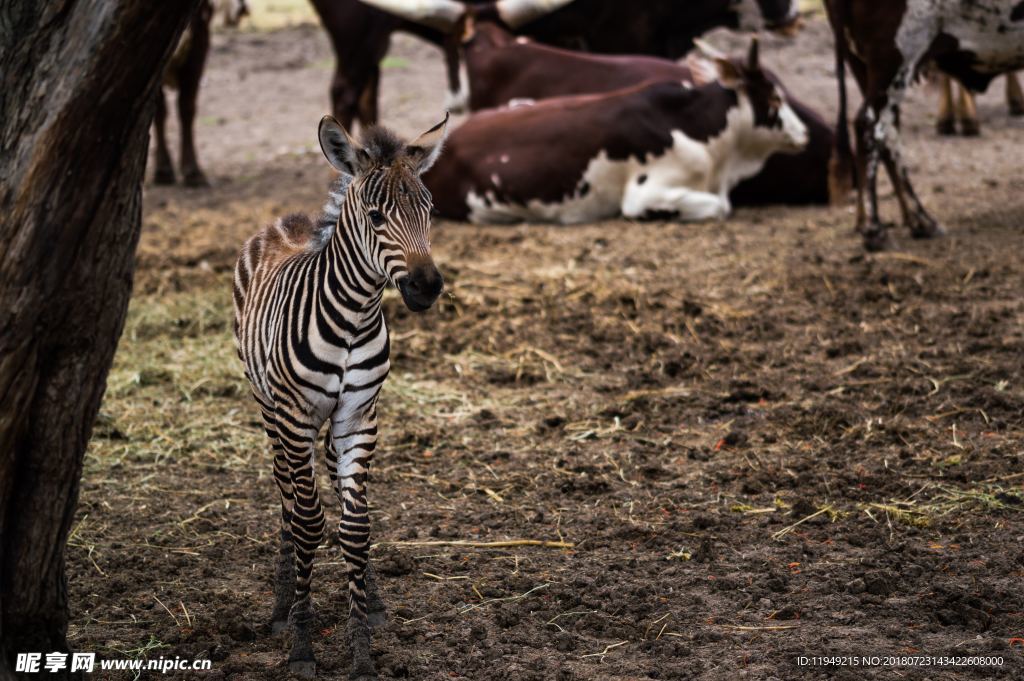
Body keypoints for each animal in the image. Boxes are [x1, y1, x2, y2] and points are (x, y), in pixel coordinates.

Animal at [236, 111, 452, 675]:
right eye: (376, 216)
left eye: (430, 211)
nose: (427, 287)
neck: (354, 317)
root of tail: (289, 221)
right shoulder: (294, 416)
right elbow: (308, 522)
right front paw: (301, 643)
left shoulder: (359, 415)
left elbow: (356, 525)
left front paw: (361, 648)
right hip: (270, 408)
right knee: (287, 494)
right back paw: (282, 604)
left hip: (330, 425)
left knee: (333, 485)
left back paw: (368, 597)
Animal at [827, 0, 1024, 249]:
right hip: (895, 56)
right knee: (869, 125)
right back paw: (875, 230)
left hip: (863, 63)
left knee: (889, 133)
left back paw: (920, 221)